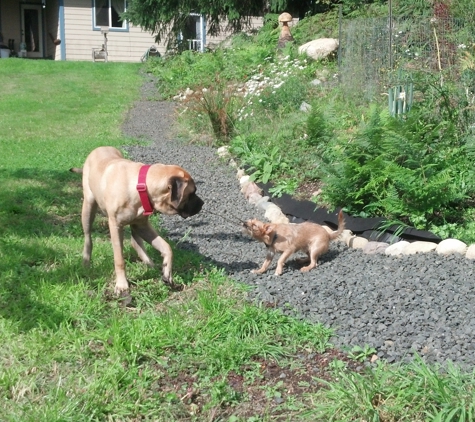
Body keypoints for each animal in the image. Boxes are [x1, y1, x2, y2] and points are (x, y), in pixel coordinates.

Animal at [73, 145, 204, 294]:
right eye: (192, 193)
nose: (202, 203)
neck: (141, 186)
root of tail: (100, 147)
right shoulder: (115, 226)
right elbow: (119, 259)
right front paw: (121, 285)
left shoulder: (142, 225)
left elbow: (167, 247)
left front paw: (167, 271)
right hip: (88, 206)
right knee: (88, 237)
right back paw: (86, 262)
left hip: (135, 225)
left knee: (136, 243)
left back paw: (150, 264)